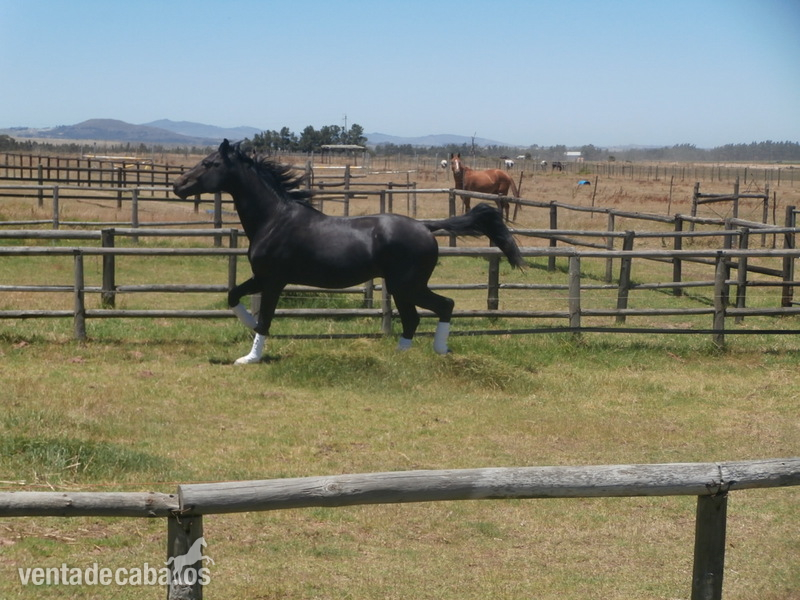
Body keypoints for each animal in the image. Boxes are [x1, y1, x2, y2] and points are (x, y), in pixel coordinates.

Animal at [173, 140, 524, 364]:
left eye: (209, 164)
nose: (178, 186)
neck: (274, 219)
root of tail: (426, 226)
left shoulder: (273, 280)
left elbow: (265, 319)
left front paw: (249, 357)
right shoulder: (261, 277)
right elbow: (233, 295)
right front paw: (245, 327)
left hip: (407, 285)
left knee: (444, 305)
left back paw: (437, 351)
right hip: (402, 287)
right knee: (413, 318)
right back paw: (400, 355)